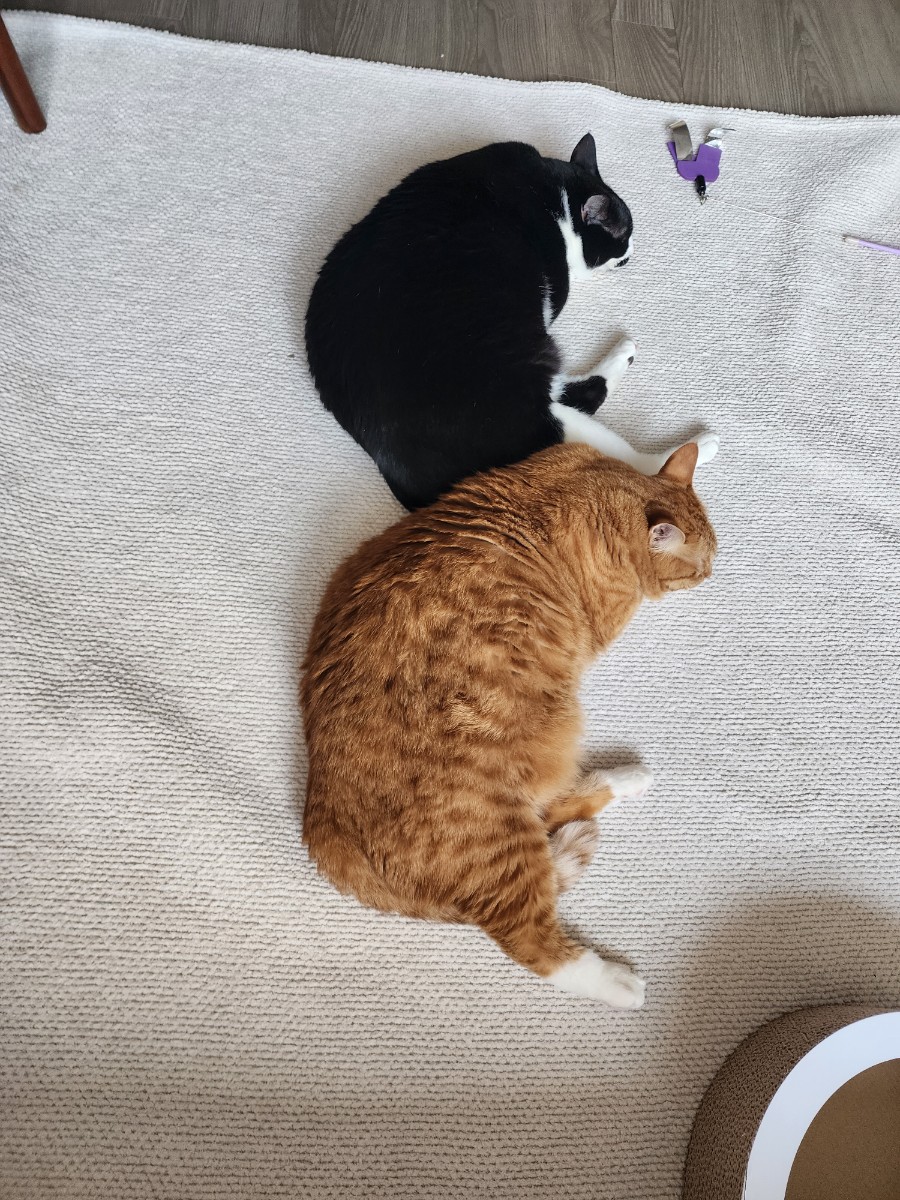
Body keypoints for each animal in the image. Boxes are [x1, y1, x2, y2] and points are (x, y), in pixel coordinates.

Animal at [301, 440, 717, 1006]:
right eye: (700, 567)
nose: (714, 573)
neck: (596, 488)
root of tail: (323, 825)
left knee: (556, 807)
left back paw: (628, 777)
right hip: (498, 831)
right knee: (530, 940)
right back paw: (616, 983)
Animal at [305, 132, 719, 511]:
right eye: (622, 238)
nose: (631, 250)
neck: (553, 193)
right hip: (523, 398)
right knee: (628, 454)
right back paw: (695, 443)